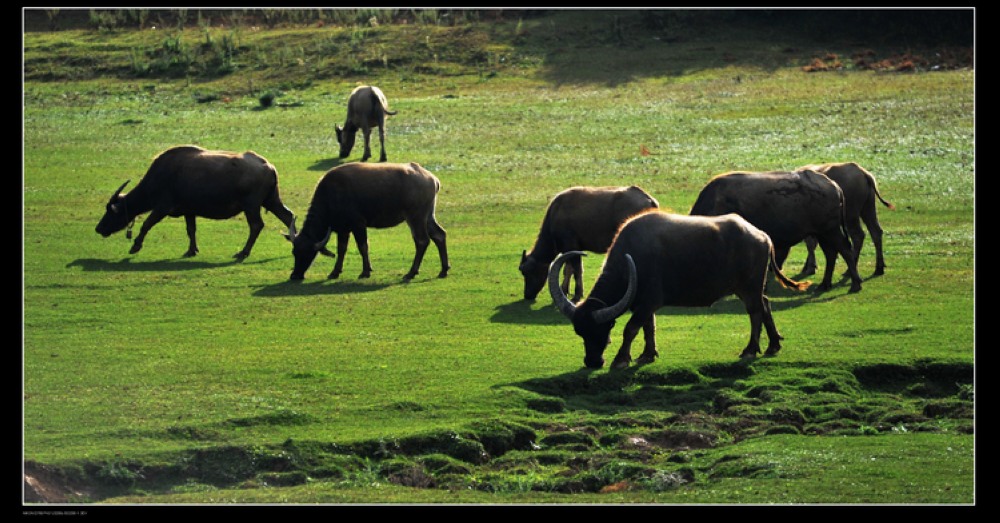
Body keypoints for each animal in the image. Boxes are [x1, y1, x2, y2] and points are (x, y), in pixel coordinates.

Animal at [93, 145, 296, 260]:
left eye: (110, 212)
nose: (98, 228)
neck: (160, 176)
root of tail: (268, 166)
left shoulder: (162, 207)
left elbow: (146, 224)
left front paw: (135, 246)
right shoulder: (189, 211)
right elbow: (191, 230)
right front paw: (191, 250)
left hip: (251, 206)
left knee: (256, 225)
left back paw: (243, 252)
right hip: (271, 200)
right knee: (288, 216)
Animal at [288, 163, 448, 282]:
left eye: (307, 253)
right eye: (294, 252)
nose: (295, 275)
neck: (331, 195)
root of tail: (432, 179)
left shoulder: (358, 224)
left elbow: (363, 247)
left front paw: (365, 271)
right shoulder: (343, 229)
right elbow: (341, 249)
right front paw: (335, 272)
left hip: (416, 217)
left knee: (422, 241)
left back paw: (412, 272)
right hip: (428, 216)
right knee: (439, 235)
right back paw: (443, 270)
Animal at [520, 187, 660, 302]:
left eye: (527, 272)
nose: (527, 295)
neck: (555, 215)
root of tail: (649, 200)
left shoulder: (571, 246)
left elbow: (577, 270)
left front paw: (577, 294)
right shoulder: (570, 249)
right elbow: (567, 269)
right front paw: (564, 290)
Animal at [548, 211, 804, 370]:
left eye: (604, 329)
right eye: (580, 332)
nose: (593, 362)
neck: (633, 258)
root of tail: (762, 236)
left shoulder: (648, 302)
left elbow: (631, 329)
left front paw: (621, 359)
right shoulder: (644, 304)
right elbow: (648, 328)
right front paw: (647, 355)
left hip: (748, 287)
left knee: (756, 312)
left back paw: (751, 349)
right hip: (751, 287)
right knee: (766, 304)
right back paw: (773, 345)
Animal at [692, 172, 864, 294]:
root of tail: (834, 186)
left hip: (830, 231)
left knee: (846, 251)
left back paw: (855, 284)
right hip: (822, 233)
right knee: (831, 254)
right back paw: (824, 285)